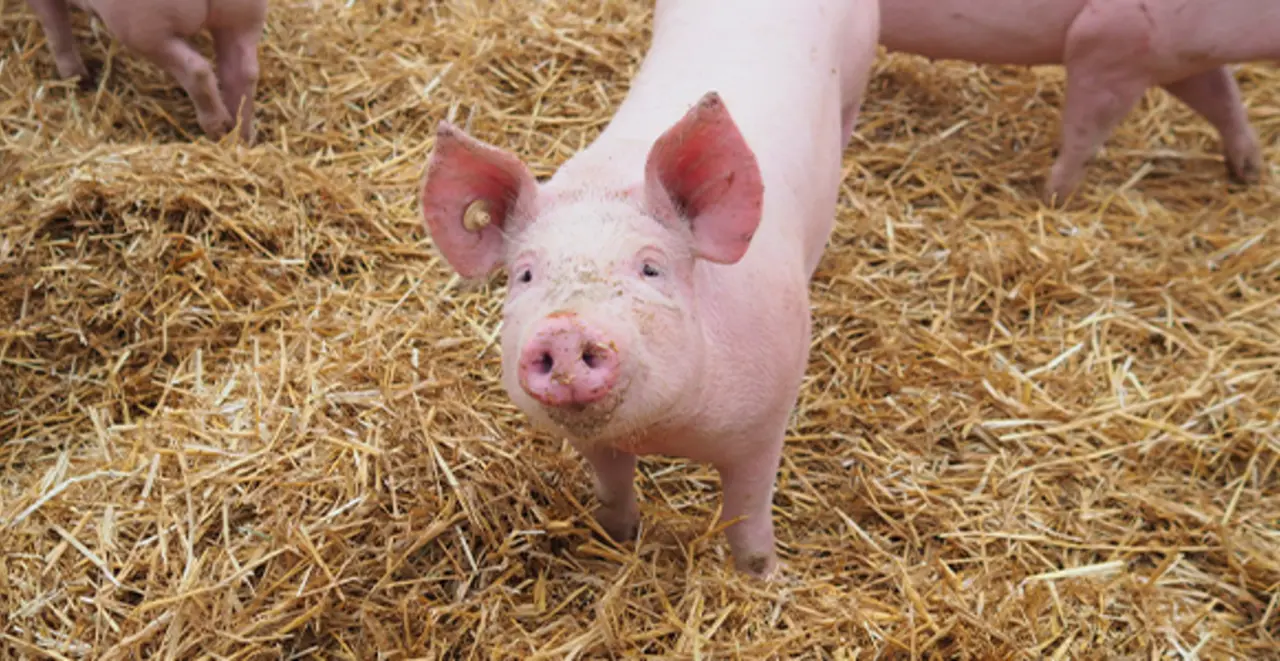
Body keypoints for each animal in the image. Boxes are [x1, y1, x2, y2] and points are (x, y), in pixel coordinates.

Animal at [24, 0, 266, 142]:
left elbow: (55, 28)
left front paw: (76, 79)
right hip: (244, 15)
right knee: (245, 72)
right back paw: (242, 137)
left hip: (144, 28)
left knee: (198, 70)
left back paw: (218, 131)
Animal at [417, 0, 880, 578]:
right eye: (524, 275)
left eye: (651, 268)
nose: (565, 330)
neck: (667, 431)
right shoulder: (596, 442)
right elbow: (613, 490)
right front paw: (617, 539)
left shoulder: (767, 421)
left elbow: (748, 517)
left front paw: (761, 577)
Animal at [878, 0, 1279, 204]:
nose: (1253, 177)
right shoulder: (1106, 44)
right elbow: (1085, 134)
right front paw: (1053, 198)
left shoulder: (1178, 59)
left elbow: (1224, 99)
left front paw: (1249, 172)